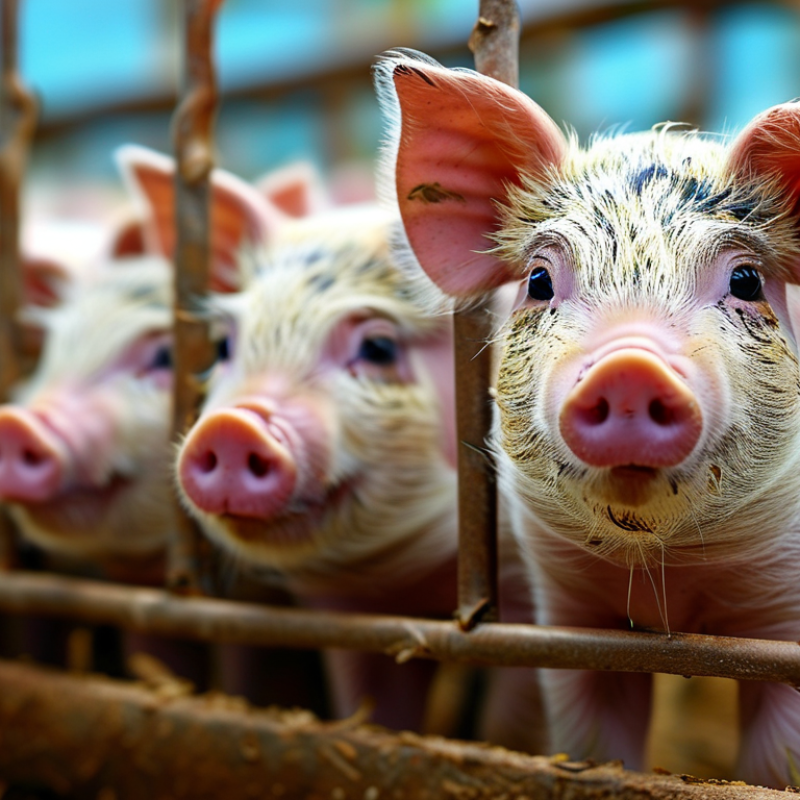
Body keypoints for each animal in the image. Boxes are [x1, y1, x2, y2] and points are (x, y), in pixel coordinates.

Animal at [375, 48, 800, 787]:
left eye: (746, 281)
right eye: (539, 281)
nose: (628, 367)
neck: (670, 585)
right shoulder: (569, 617)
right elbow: (596, 742)